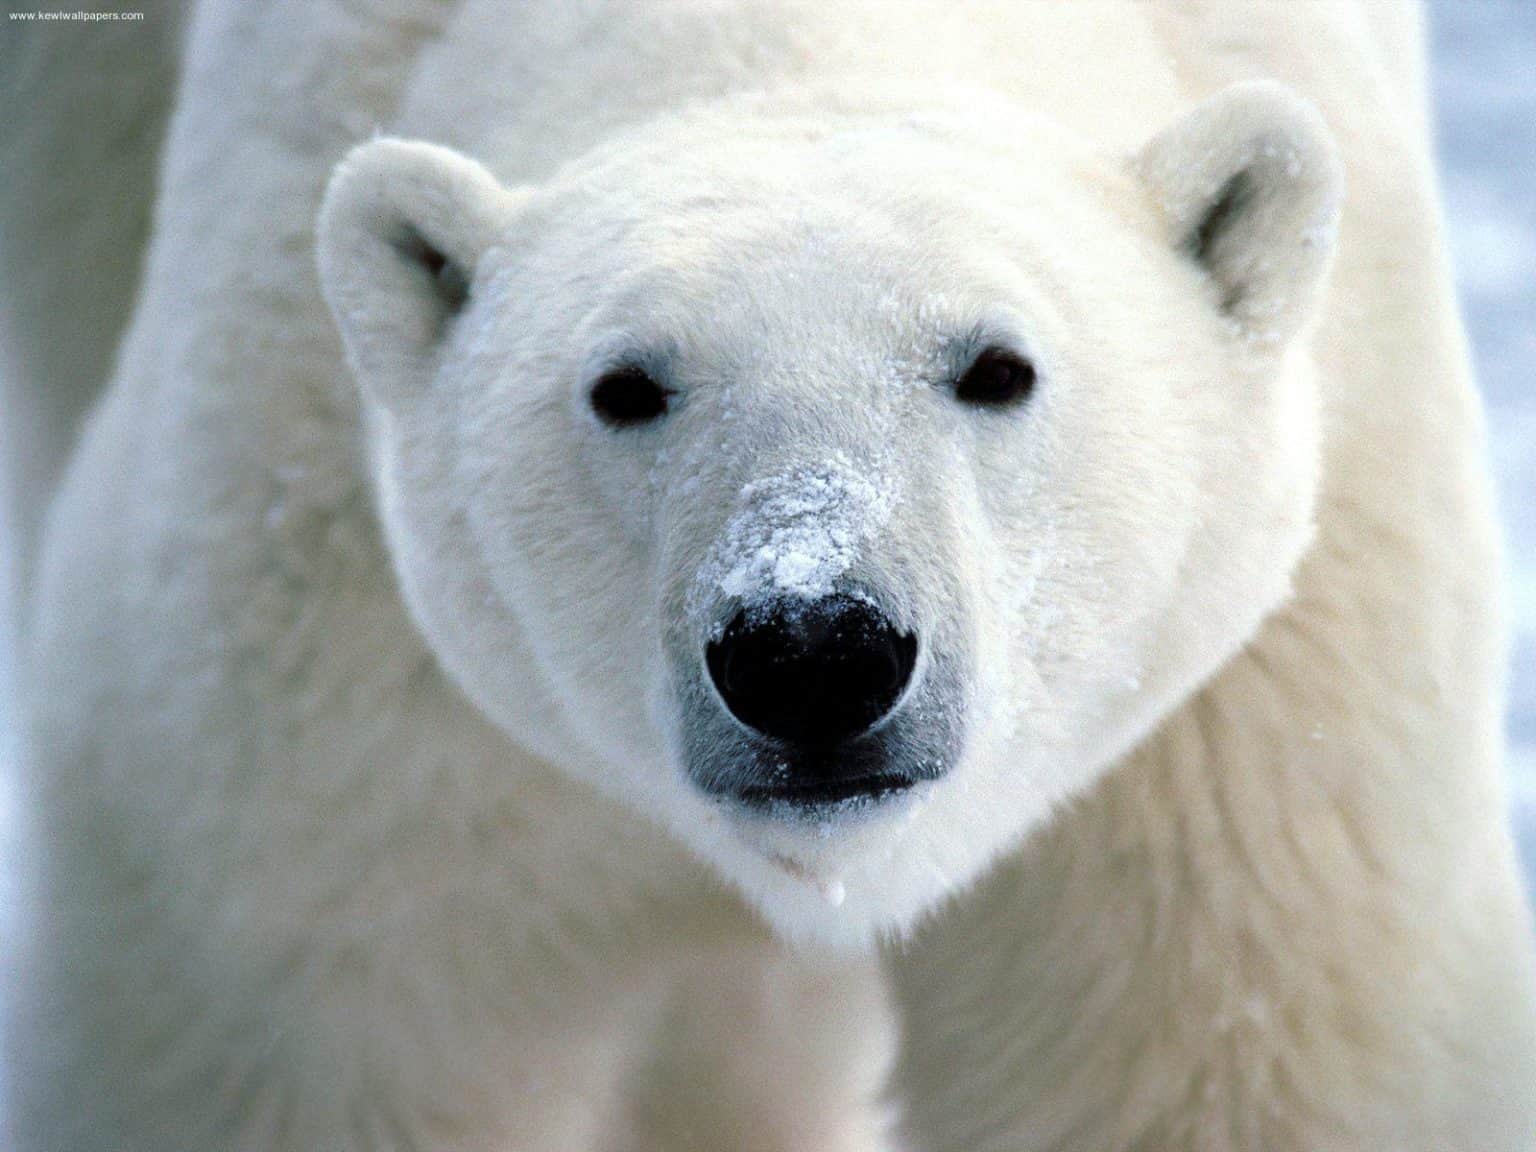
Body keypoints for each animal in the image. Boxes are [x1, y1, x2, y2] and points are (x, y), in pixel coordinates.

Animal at [3, 0, 1536, 1148]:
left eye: (998, 365)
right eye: (626, 387)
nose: (813, 651)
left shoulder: (1243, 733)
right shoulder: (326, 673)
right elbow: (306, 1034)